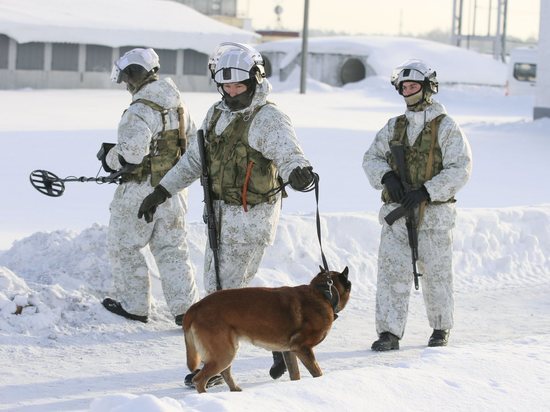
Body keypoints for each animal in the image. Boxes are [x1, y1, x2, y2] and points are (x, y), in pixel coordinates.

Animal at [183, 268, 352, 392]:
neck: (324, 292)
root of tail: (195, 307)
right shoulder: (302, 348)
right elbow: (317, 372)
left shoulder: (289, 351)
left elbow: (295, 374)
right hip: (224, 354)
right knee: (199, 380)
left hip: (227, 351)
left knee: (225, 373)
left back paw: (236, 391)